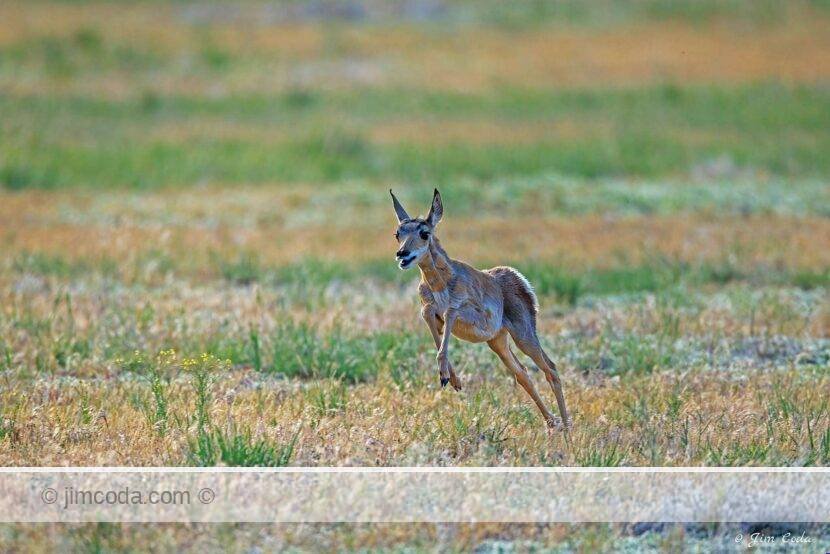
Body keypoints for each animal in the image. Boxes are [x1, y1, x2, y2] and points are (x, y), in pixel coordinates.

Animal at [390, 188, 569, 429]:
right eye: (398, 233)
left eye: (424, 232)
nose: (402, 254)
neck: (442, 282)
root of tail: (515, 278)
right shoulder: (431, 313)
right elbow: (429, 316)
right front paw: (453, 380)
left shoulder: (467, 314)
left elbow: (450, 312)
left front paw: (445, 376)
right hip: (498, 342)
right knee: (523, 374)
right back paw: (552, 423)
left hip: (523, 336)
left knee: (551, 369)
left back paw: (567, 429)